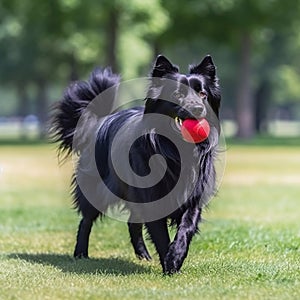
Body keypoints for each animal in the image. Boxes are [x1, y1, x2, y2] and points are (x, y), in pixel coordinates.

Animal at [51, 54, 220, 274]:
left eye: (202, 94)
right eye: (177, 95)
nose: (199, 109)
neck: (175, 149)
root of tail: (100, 122)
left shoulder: (193, 197)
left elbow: (186, 228)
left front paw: (176, 256)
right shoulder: (152, 199)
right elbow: (161, 235)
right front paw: (169, 264)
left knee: (133, 223)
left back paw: (143, 255)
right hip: (97, 190)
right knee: (86, 220)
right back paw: (80, 253)